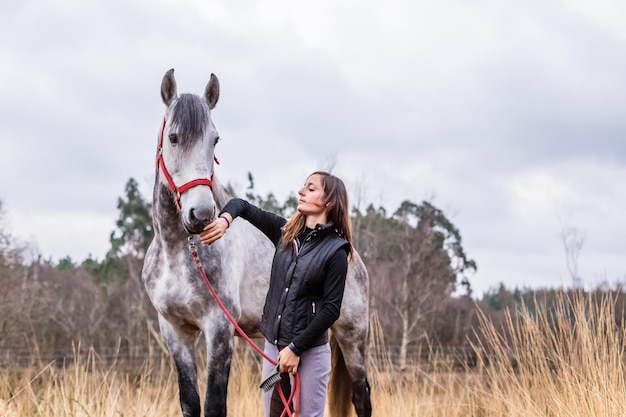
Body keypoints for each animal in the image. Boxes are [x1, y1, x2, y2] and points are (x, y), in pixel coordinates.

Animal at [141, 69, 370, 416]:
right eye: (173, 137)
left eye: (215, 140)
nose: (202, 214)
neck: (177, 253)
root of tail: (353, 257)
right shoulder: (174, 331)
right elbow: (190, 403)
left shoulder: (219, 329)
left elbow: (214, 404)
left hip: (352, 337)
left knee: (362, 396)